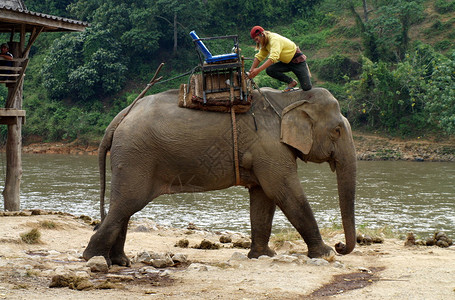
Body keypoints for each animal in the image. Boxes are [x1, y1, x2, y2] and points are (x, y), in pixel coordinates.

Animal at [83, 85, 358, 266]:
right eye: (336, 130)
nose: (340, 246)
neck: (290, 98)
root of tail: (121, 115)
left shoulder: (265, 152)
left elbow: (263, 197)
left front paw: (263, 255)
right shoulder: (270, 146)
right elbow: (283, 191)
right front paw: (325, 254)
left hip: (130, 157)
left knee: (122, 207)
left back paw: (120, 261)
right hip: (136, 155)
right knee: (127, 204)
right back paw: (94, 258)